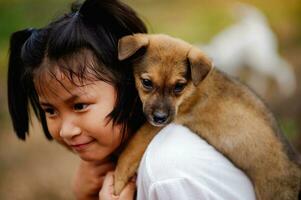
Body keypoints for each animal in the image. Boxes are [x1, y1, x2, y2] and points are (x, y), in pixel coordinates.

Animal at [113, 33, 300, 199]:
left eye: (179, 86)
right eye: (146, 83)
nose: (159, 118)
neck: (192, 88)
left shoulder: (158, 125)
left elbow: (130, 150)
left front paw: (116, 181)